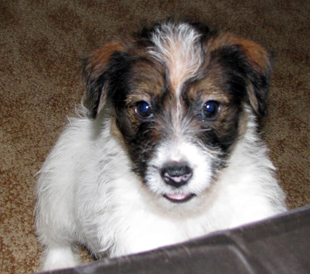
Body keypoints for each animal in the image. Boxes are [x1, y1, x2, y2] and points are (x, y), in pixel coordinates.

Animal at [35, 20, 286, 270]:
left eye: (210, 107)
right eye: (143, 108)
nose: (176, 175)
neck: (187, 213)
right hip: (56, 202)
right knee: (56, 240)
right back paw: (59, 264)